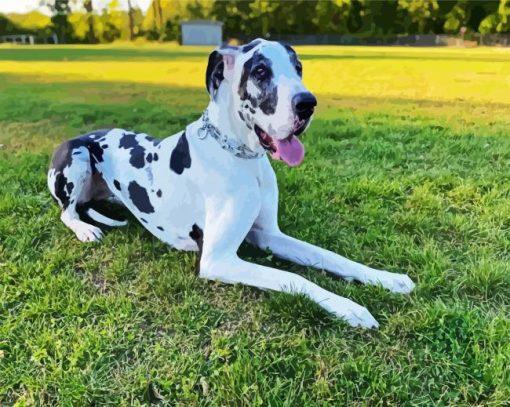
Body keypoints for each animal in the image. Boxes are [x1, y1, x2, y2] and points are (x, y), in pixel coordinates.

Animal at [47, 39, 414, 328]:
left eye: (298, 68)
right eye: (260, 72)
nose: (307, 103)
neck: (243, 157)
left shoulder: (268, 235)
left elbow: (330, 256)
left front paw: (386, 278)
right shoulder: (218, 259)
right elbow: (293, 277)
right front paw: (350, 307)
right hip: (76, 156)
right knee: (67, 212)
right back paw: (85, 229)